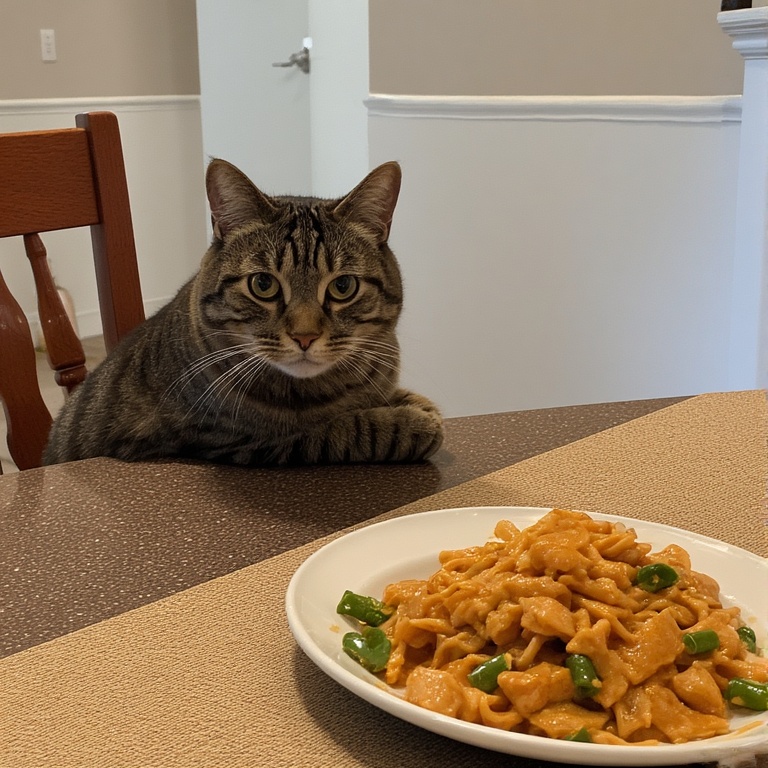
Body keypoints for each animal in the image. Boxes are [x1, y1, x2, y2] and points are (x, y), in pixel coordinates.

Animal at [43, 159, 444, 466]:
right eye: (263, 284)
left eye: (343, 286)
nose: (305, 336)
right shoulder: (237, 441)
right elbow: (343, 428)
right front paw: (414, 423)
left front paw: (415, 404)